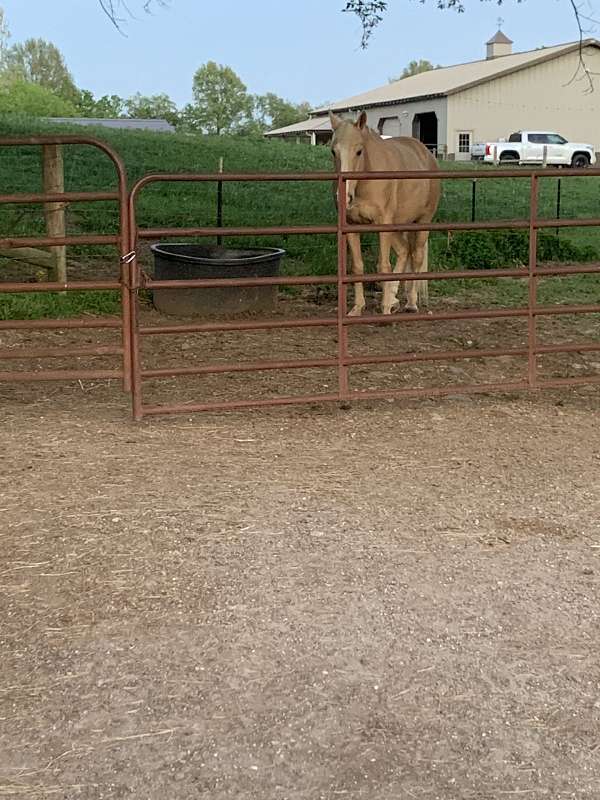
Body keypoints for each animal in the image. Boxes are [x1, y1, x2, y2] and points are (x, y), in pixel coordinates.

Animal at [329, 110, 440, 316]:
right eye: (333, 151)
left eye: (359, 151)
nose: (344, 197)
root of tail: (427, 153)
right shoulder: (351, 227)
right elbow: (357, 266)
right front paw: (357, 308)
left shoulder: (383, 225)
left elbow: (384, 266)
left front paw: (386, 308)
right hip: (398, 225)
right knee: (405, 251)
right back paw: (394, 297)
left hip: (422, 221)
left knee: (416, 256)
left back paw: (410, 303)